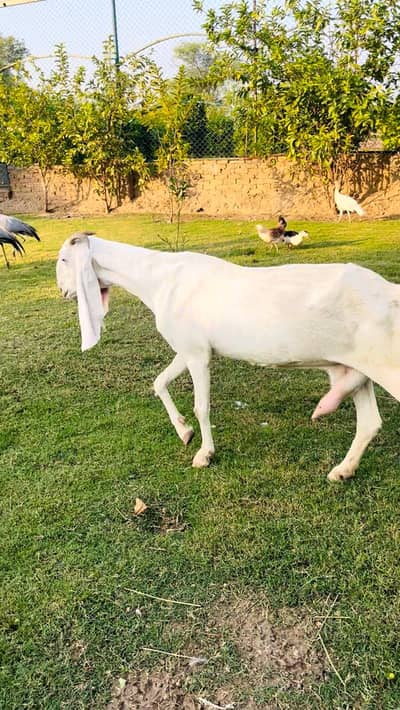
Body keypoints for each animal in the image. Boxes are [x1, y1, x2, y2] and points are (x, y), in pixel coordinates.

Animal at [57, 232, 400, 482]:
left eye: (63, 259)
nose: (62, 292)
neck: (159, 278)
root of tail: (391, 292)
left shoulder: (198, 355)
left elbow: (201, 406)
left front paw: (204, 454)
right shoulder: (189, 347)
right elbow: (159, 383)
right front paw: (184, 432)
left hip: (388, 364)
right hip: (355, 367)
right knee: (369, 423)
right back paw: (342, 471)